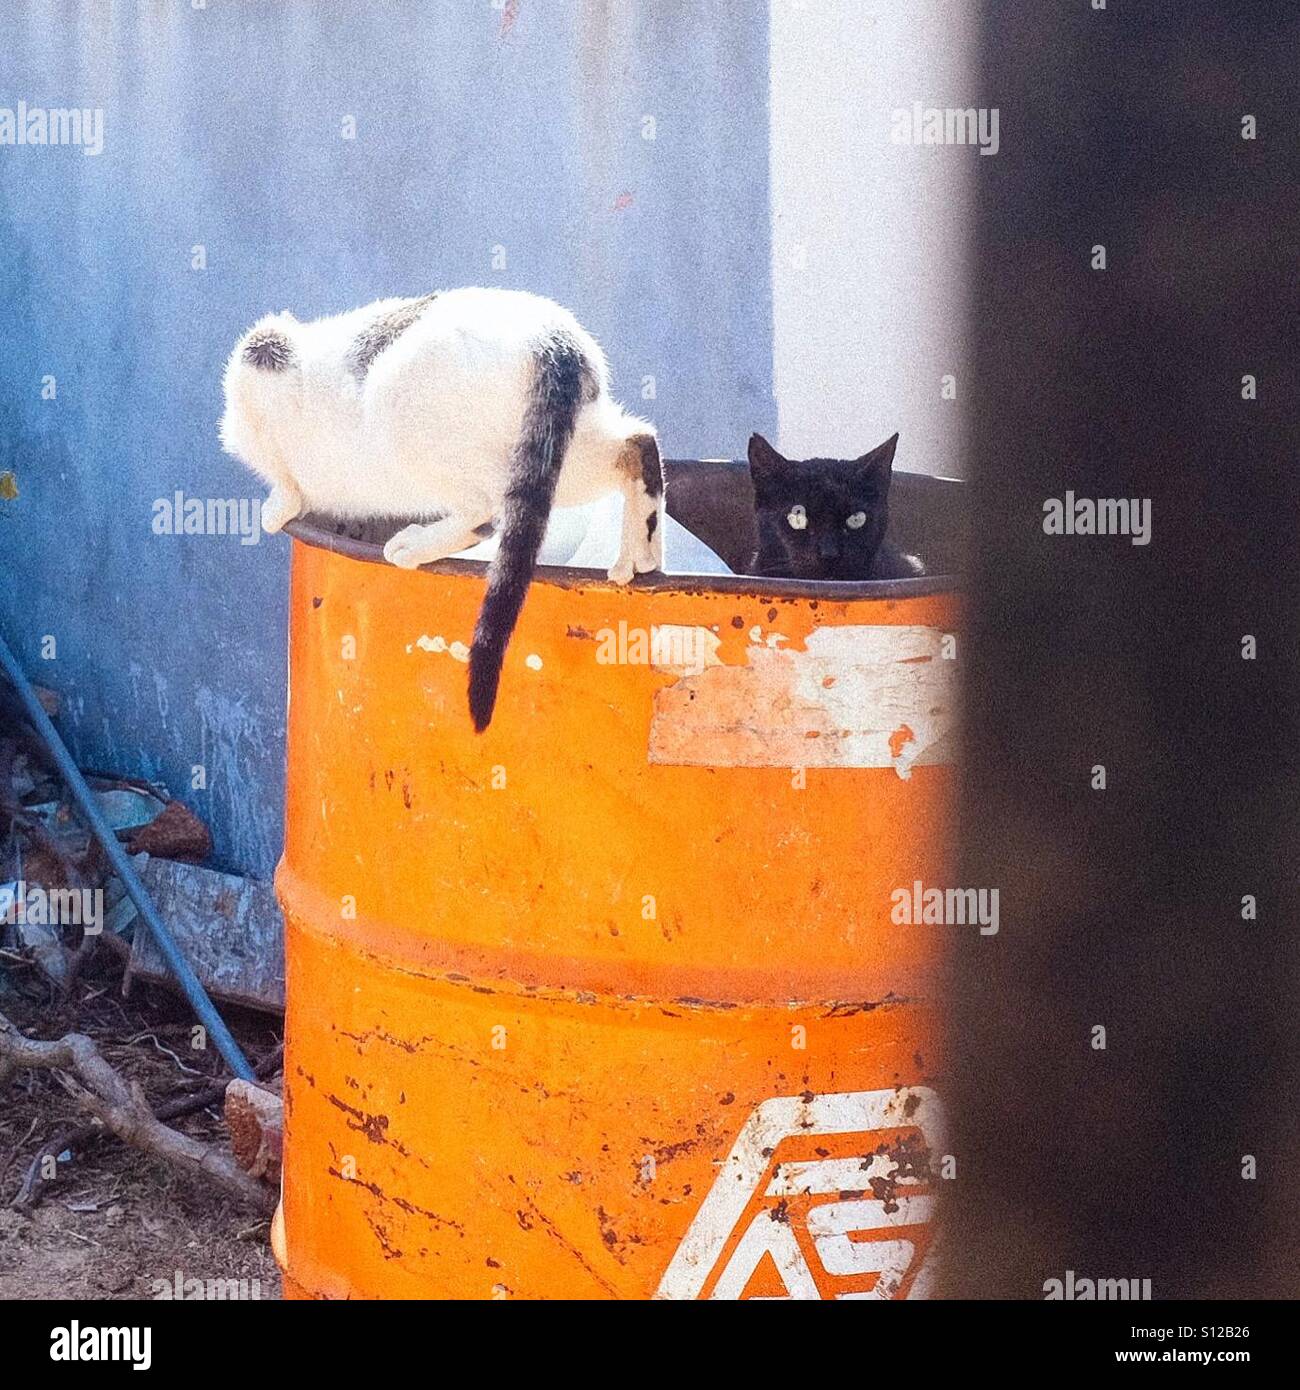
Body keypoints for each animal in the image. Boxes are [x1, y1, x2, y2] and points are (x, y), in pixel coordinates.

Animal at [221, 289, 661, 733]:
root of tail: (553, 339)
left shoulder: (262, 358)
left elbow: (285, 482)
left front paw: (277, 507)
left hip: (403, 403)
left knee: (485, 509)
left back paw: (413, 545)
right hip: (557, 453)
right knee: (636, 443)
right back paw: (640, 553)